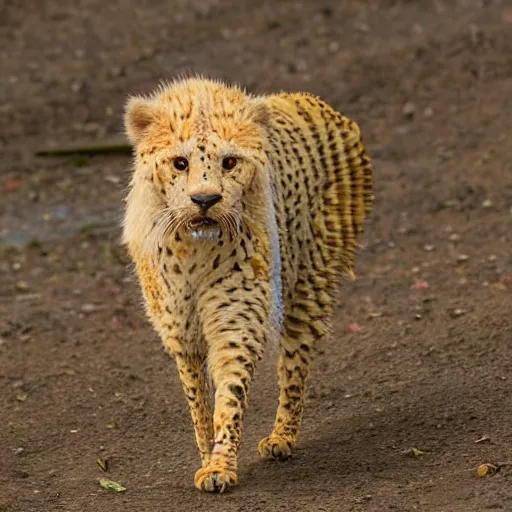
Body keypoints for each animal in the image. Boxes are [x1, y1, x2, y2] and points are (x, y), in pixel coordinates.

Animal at [122, 76, 374, 492]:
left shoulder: (235, 323)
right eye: (180, 163)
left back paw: (282, 437)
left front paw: (220, 465)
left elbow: (231, 392)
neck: (196, 248)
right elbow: (197, 399)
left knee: (295, 363)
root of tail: (311, 99)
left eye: (229, 162)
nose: (205, 199)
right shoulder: (181, 332)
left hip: (310, 282)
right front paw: (207, 455)